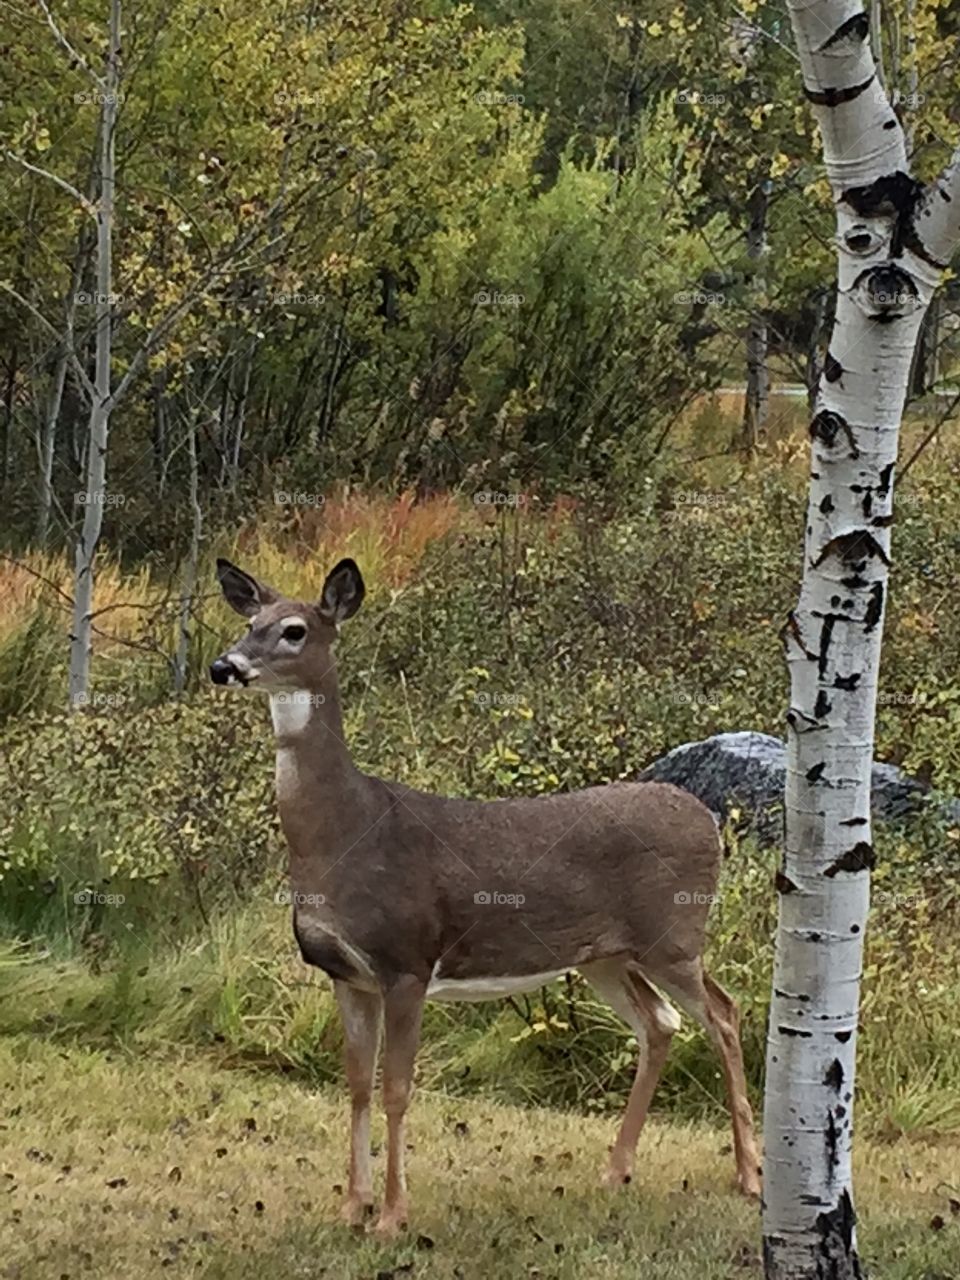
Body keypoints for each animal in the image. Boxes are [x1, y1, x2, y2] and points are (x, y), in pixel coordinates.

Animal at [210, 556, 761, 1237]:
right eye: (249, 622)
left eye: (294, 631)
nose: (224, 666)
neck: (345, 833)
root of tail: (709, 819)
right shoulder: (346, 974)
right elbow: (357, 1085)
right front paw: (351, 1206)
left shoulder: (407, 961)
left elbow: (397, 1089)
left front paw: (392, 1216)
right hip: (607, 956)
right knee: (661, 1024)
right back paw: (616, 1171)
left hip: (674, 935)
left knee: (724, 1014)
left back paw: (749, 1176)